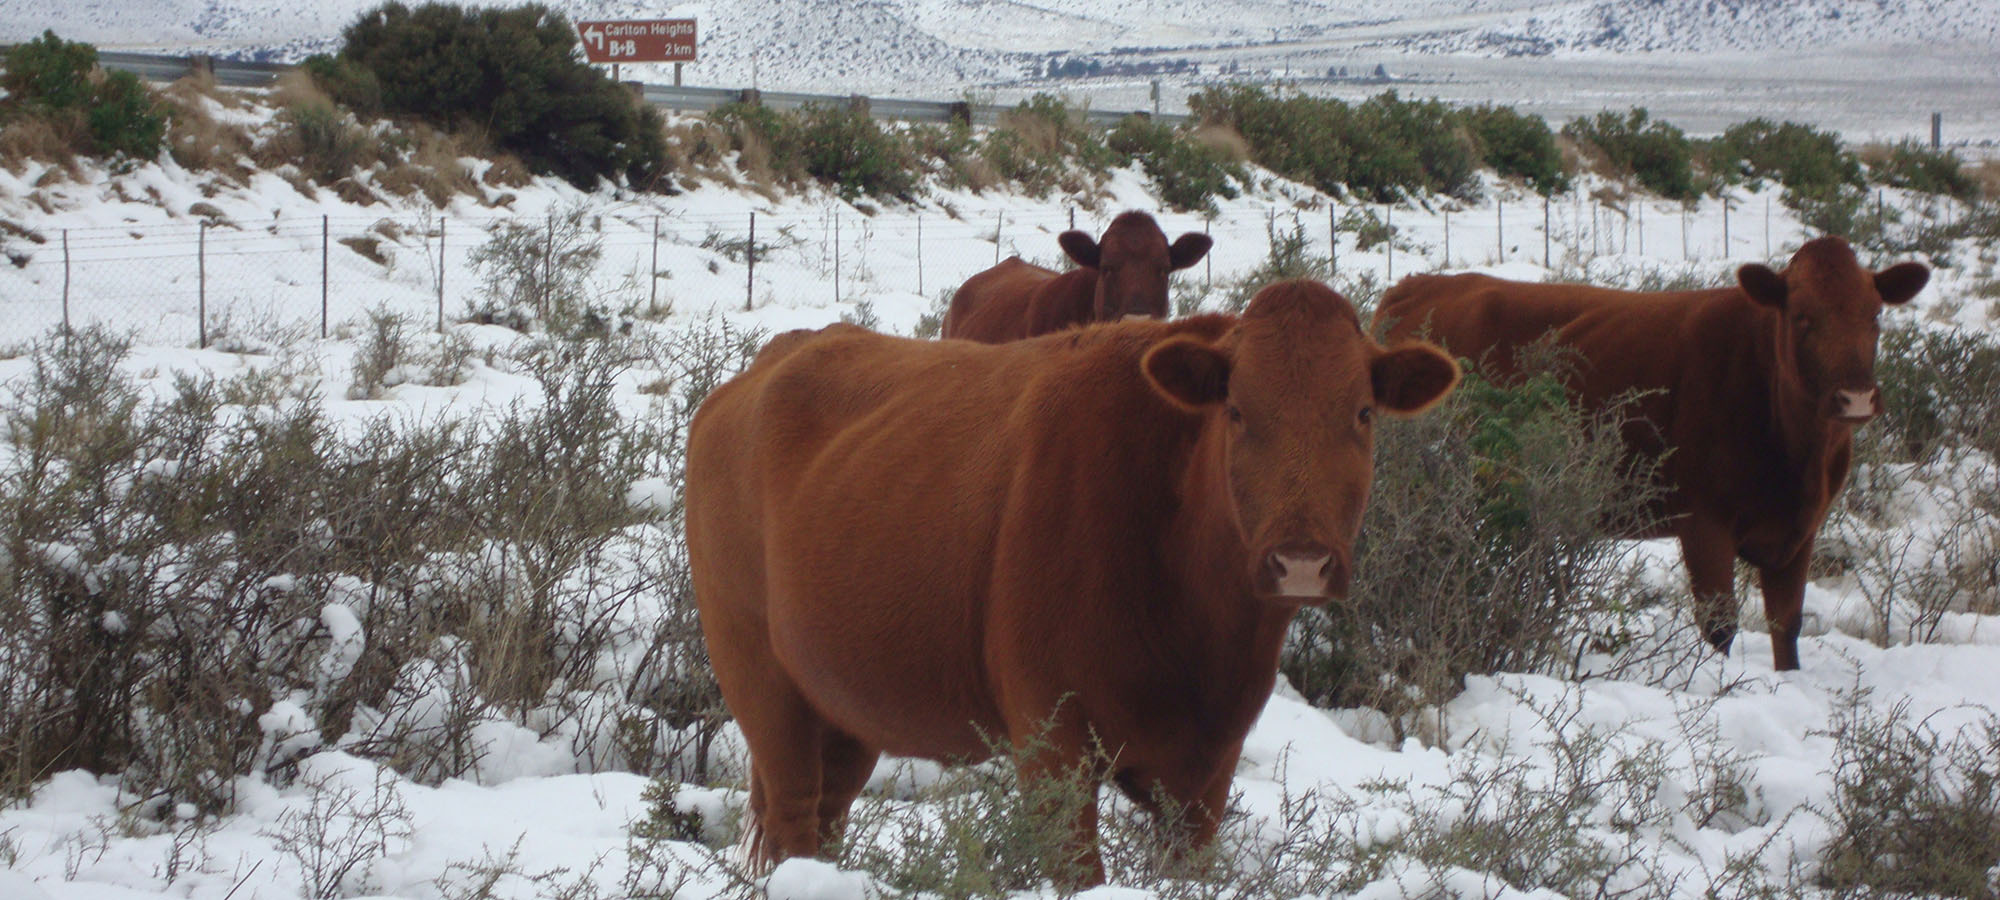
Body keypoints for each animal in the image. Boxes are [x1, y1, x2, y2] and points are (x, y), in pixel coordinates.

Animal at [684, 280, 1456, 880]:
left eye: (1362, 413)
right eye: (1237, 411)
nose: (1300, 560)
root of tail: (773, 360)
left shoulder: (1209, 767)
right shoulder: (1050, 736)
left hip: (845, 704)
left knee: (825, 819)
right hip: (758, 677)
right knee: (793, 821)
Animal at [1376, 236, 1920, 672]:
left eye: (1875, 315)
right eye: (1803, 317)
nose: (1855, 398)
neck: (1797, 456)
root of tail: (1415, 287)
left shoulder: (1800, 530)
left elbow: (1786, 625)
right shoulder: (1705, 522)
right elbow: (1720, 626)